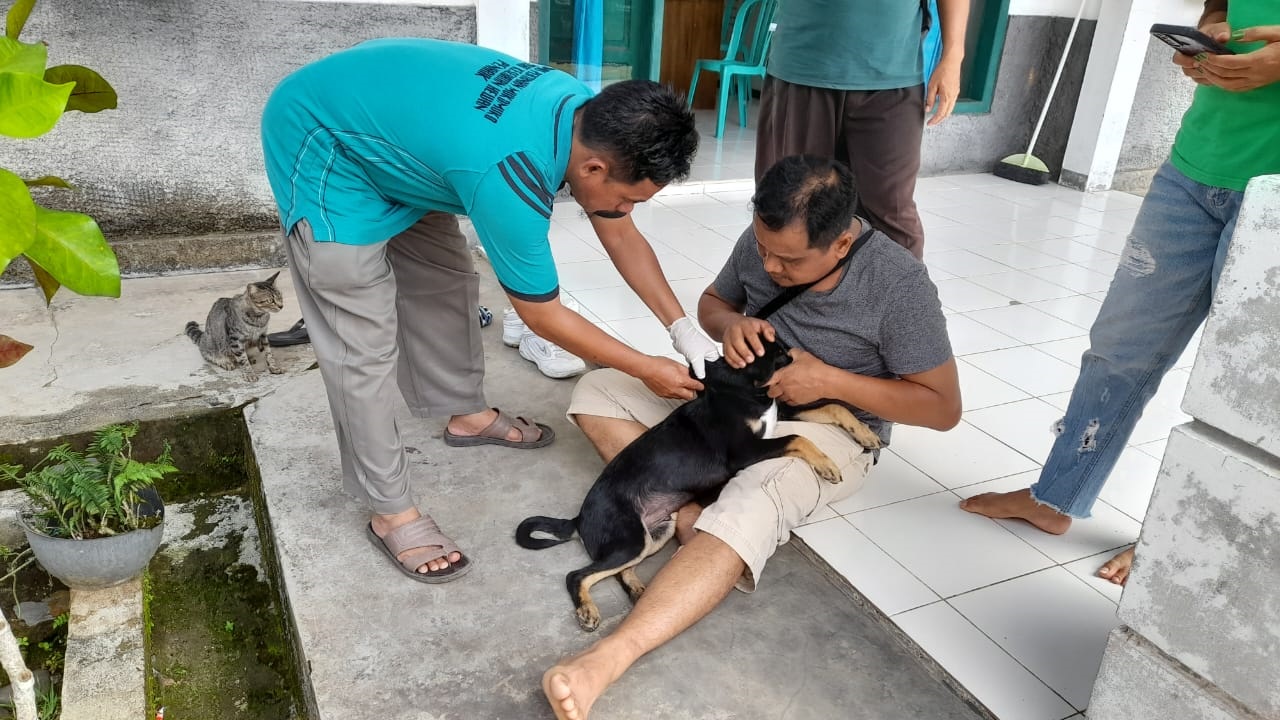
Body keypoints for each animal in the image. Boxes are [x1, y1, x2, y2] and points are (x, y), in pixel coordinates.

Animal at [515, 338, 882, 631]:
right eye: (779, 353)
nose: (799, 355)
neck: (743, 389)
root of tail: (578, 517)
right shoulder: (743, 451)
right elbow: (798, 438)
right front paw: (827, 464)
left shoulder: (783, 414)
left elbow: (832, 407)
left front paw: (867, 435)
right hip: (631, 538)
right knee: (577, 575)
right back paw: (588, 610)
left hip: (654, 534)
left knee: (616, 570)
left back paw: (636, 589)